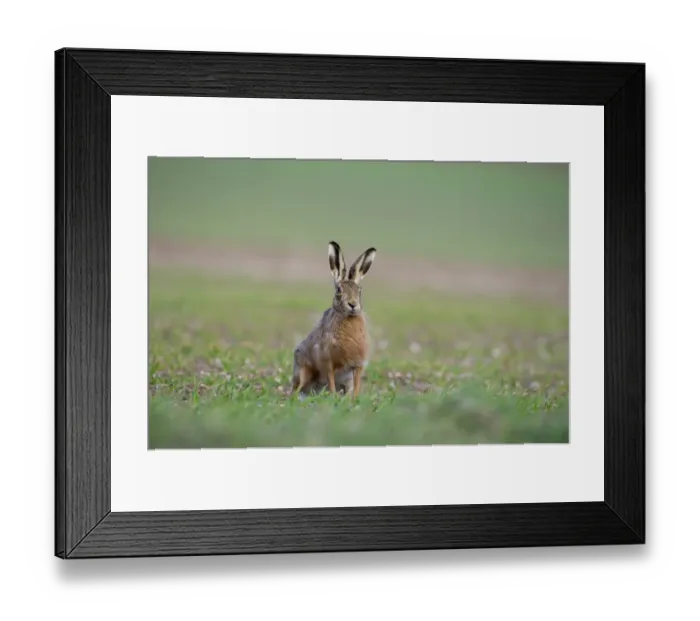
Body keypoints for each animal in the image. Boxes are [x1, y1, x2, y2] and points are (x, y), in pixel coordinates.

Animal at [291, 241, 377, 399]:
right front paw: (333, 397)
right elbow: (330, 381)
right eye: (338, 290)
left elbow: (357, 384)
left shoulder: (358, 365)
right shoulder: (327, 362)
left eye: (359, 290)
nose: (353, 304)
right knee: (297, 388)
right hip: (303, 372)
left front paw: (354, 399)